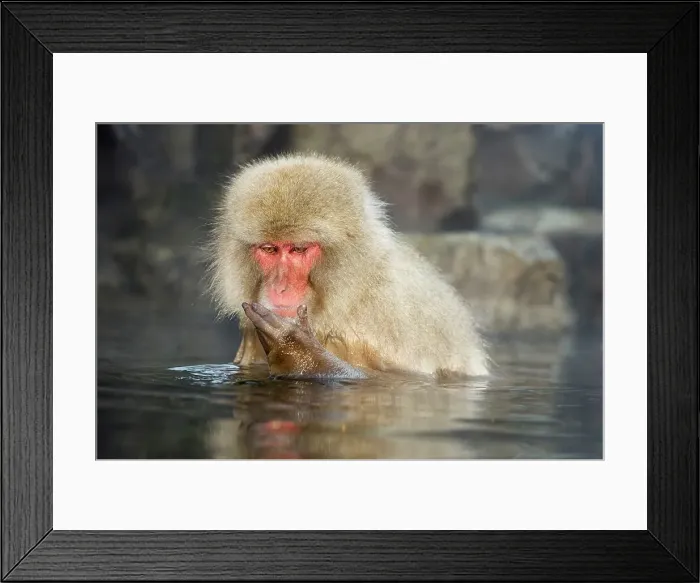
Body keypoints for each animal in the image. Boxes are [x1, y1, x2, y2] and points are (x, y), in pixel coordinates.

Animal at [208, 152, 490, 381]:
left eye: (298, 249)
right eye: (269, 249)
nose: (280, 287)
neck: (347, 297)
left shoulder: (387, 319)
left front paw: (297, 350)